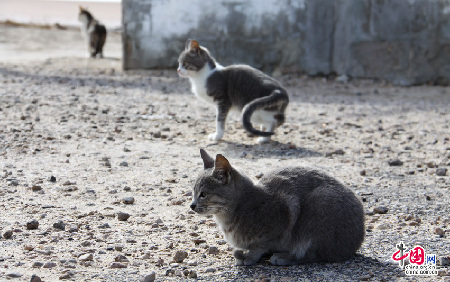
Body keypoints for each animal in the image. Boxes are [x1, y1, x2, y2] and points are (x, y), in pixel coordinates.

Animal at [190, 149, 366, 266]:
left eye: (203, 194)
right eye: (193, 191)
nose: (191, 205)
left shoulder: (283, 216)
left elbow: (260, 245)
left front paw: (250, 257)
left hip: (318, 210)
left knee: (313, 255)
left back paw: (283, 257)